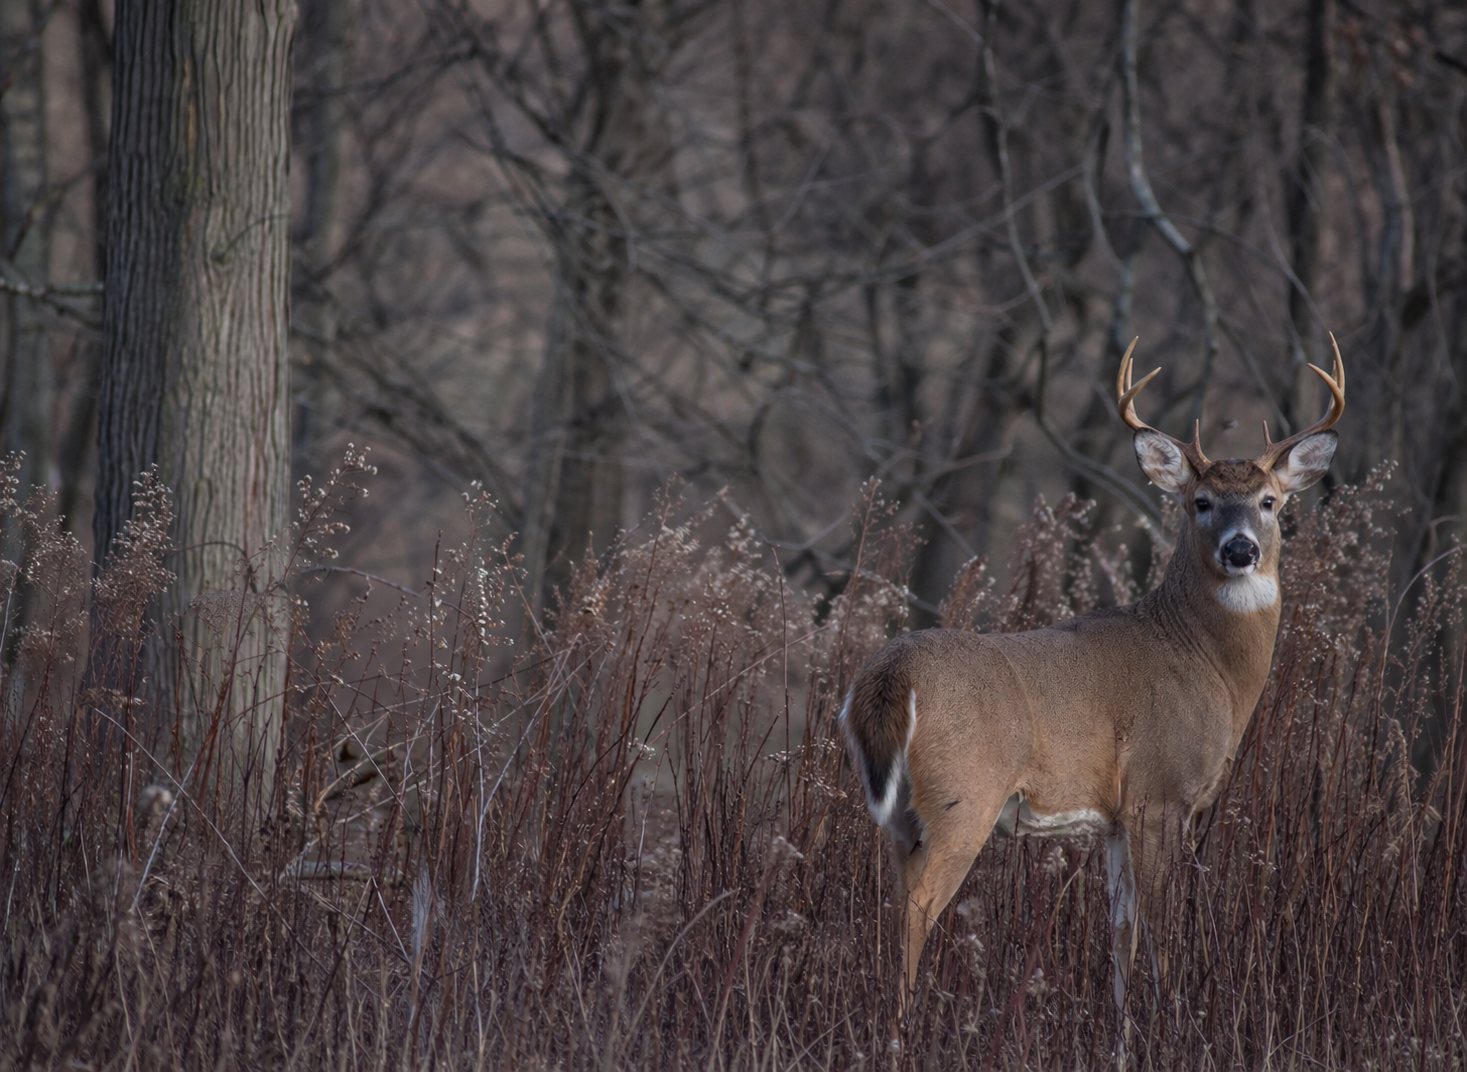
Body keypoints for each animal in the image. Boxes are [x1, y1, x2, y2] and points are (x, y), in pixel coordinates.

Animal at [841, 338, 1345, 1016]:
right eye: (1201, 503)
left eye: (1270, 502)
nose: (1241, 549)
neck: (1208, 663)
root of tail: (890, 675)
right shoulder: (1161, 792)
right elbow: (1161, 929)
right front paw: (1172, 1018)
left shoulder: (1115, 817)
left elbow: (1121, 931)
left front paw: (1123, 1025)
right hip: (963, 794)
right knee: (918, 907)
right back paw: (903, 1023)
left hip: (898, 816)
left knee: (887, 901)